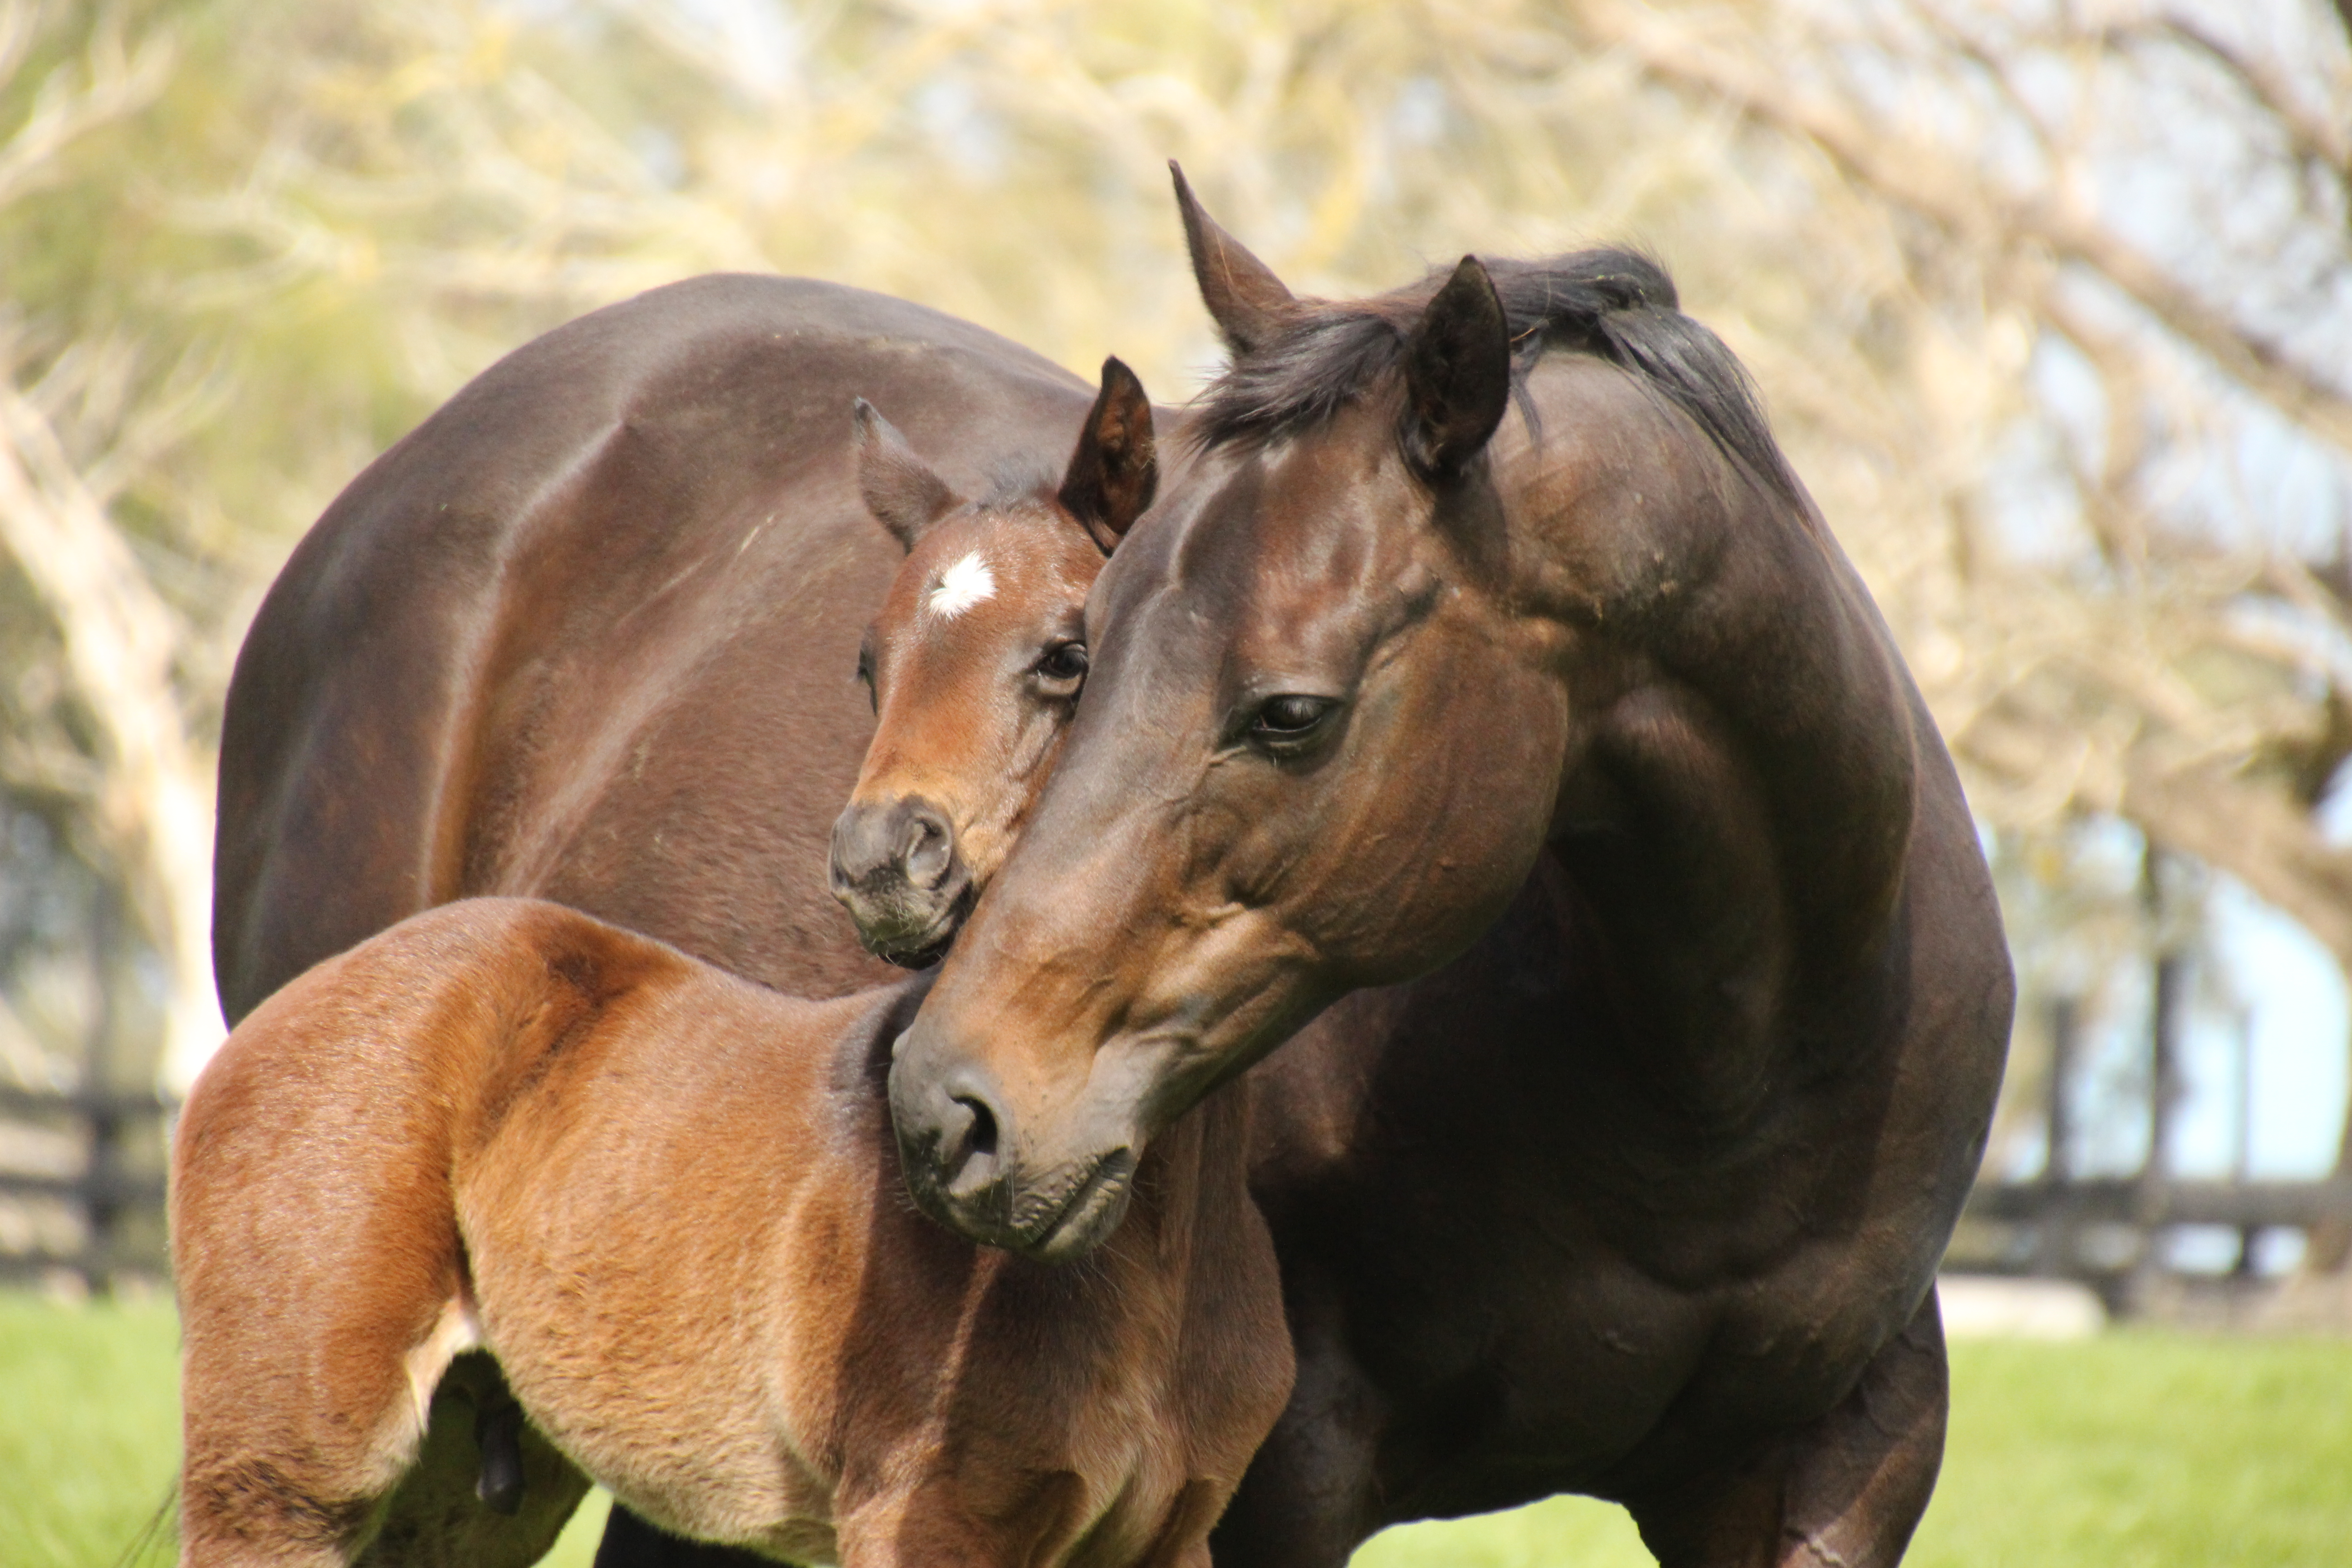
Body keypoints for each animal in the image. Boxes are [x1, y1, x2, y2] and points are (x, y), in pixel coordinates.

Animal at [889, 177, 2013, 1561]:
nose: (946, 1106)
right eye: (1083, 649)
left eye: (1290, 713)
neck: (1727, 1089)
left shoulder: (1845, 1459)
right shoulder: (1286, 1473)